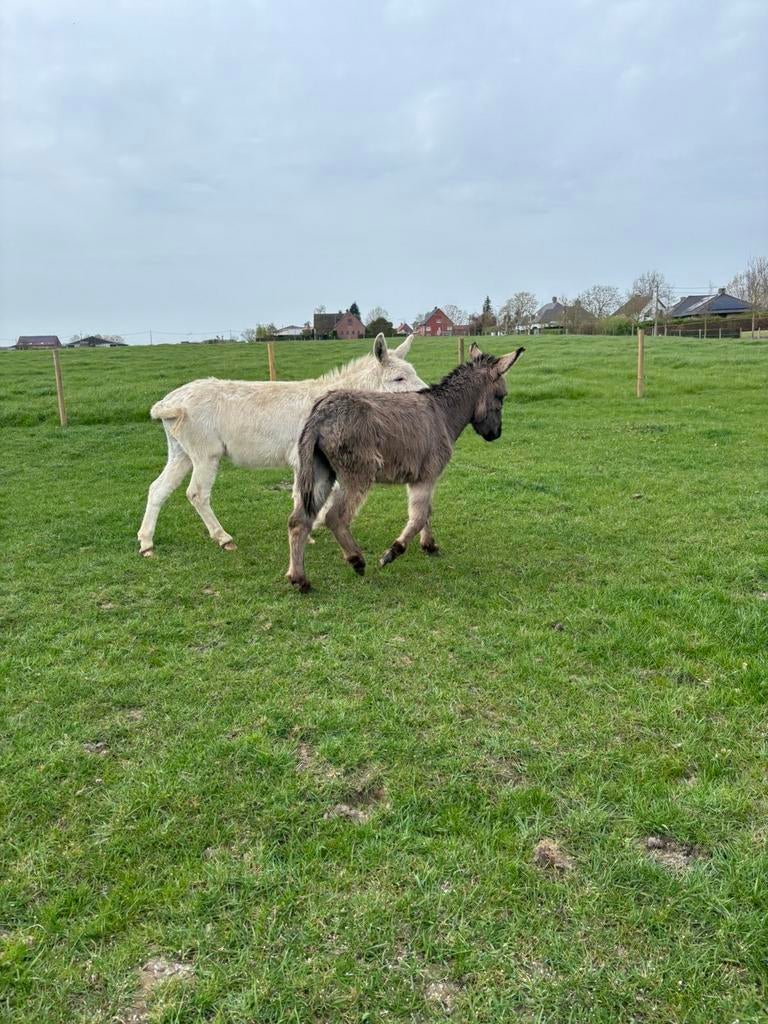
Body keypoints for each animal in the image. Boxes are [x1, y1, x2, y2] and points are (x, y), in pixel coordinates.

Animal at [137, 334, 425, 556]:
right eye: (399, 379)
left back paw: (147, 543)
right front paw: (309, 530)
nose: (426, 396)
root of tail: (170, 403)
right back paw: (223, 538)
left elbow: (323, 492)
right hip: (205, 453)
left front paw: (316, 524)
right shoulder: (303, 457)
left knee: (157, 489)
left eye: (413, 373)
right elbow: (305, 492)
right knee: (197, 493)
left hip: (181, 453)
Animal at [286, 343, 525, 591]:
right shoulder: (426, 476)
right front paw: (393, 551)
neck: (443, 412)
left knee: (299, 521)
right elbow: (419, 517)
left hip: (321, 473)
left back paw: (299, 579)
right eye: (501, 397)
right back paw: (356, 560)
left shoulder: (421, 478)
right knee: (334, 517)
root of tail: (320, 414)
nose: (496, 435)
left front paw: (429, 545)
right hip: (358, 474)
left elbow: (426, 512)